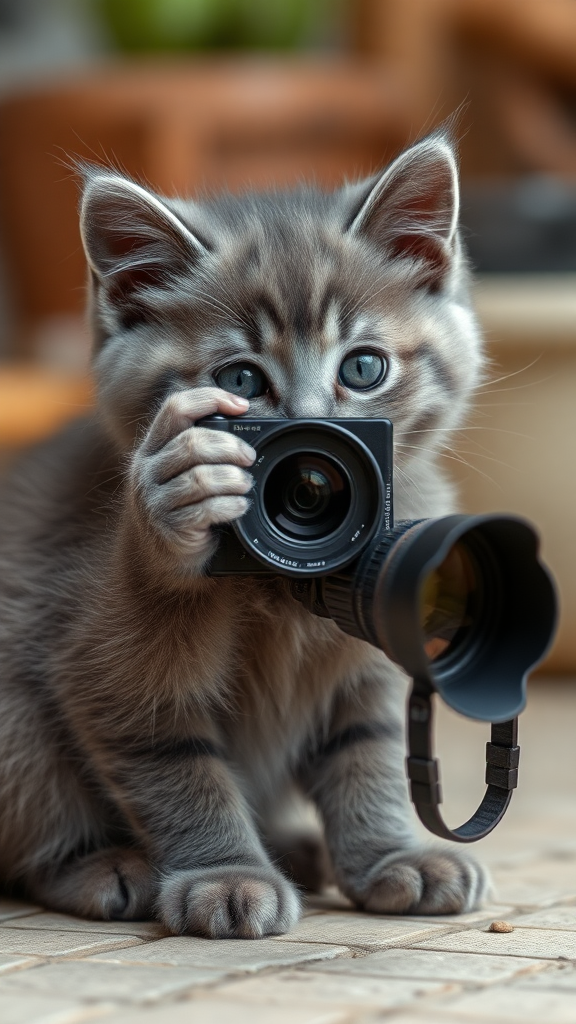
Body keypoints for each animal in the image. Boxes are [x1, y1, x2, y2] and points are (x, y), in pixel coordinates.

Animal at [0, 134, 483, 937]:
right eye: (241, 381)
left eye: (364, 367)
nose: (314, 444)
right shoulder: (105, 668)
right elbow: (179, 769)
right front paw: (225, 875)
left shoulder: (373, 661)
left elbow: (371, 754)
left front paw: (393, 856)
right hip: (14, 722)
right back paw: (106, 867)